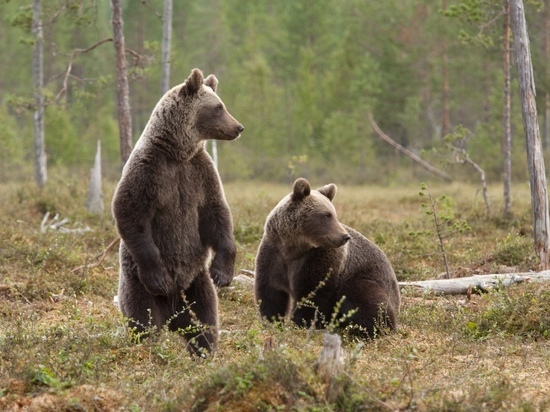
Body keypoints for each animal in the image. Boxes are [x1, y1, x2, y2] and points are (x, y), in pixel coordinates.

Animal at [112, 68, 244, 354]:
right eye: (219, 107)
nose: (239, 127)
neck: (177, 152)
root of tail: (173, 314)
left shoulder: (200, 173)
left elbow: (217, 214)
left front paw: (222, 273)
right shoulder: (149, 170)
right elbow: (130, 211)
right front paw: (159, 276)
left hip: (197, 284)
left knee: (206, 319)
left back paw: (204, 349)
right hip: (136, 284)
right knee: (143, 320)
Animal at [254, 178, 402, 338]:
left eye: (333, 214)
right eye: (327, 215)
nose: (344, 236)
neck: (294, 247)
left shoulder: (319, 259)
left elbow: (312, 293)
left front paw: (302, 324)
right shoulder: (274, 254)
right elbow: (271, 292)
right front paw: (272, 322)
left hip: (364, 277)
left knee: (366, 300)